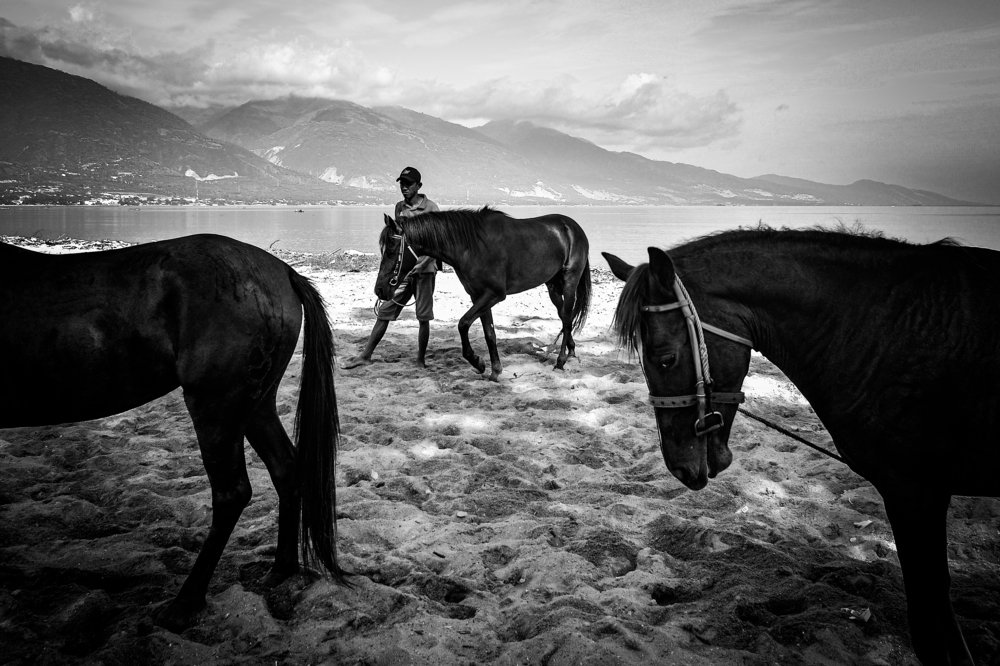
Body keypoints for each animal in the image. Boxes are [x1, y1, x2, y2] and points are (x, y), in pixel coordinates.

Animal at [0, 234, 343, 631]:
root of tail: (284, 272)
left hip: (216, 406)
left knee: (232, 493)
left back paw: (185, 602)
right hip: (256, 404)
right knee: (285, 469)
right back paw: (281, 569)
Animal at [375, 207, 591, 381]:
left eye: (391, 250)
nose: (380, 290)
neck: (473, 246)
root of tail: (573, 227)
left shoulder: (493, 295)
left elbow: (463, 324)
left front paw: (477, 362)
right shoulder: (479, 296)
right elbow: (489, 333)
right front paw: (495, 370)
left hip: (569, 283)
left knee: (567, 317)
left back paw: (560, 361)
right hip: (552, 286)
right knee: (565, 316)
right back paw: (571, 351)